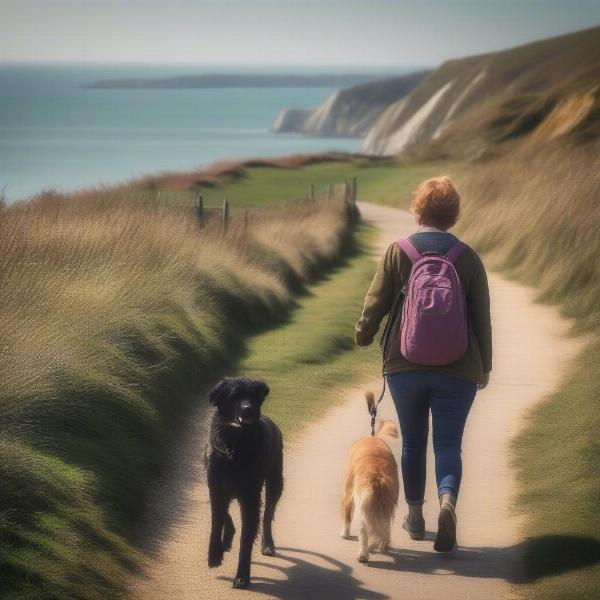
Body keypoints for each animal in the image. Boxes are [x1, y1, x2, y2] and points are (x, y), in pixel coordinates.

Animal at [206, 378, 284, 588]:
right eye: (234, 396)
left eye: (253, 396)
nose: (248, 409)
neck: (235, 446)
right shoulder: (215, 488)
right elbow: (218, 520)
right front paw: (215, 554)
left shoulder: (250, 498)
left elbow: (246, 537)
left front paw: (242, 576)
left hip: (275, 482)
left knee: (267, 516)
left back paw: (268, 544)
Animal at [340, 392, 400, 560]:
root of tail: (376, 476)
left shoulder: (348, 493)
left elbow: (347, 516)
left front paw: (344, 534)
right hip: (387, 504)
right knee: (383, 528)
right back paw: (381, 547)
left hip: (362, 504)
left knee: (363, 530)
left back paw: (363, 554)